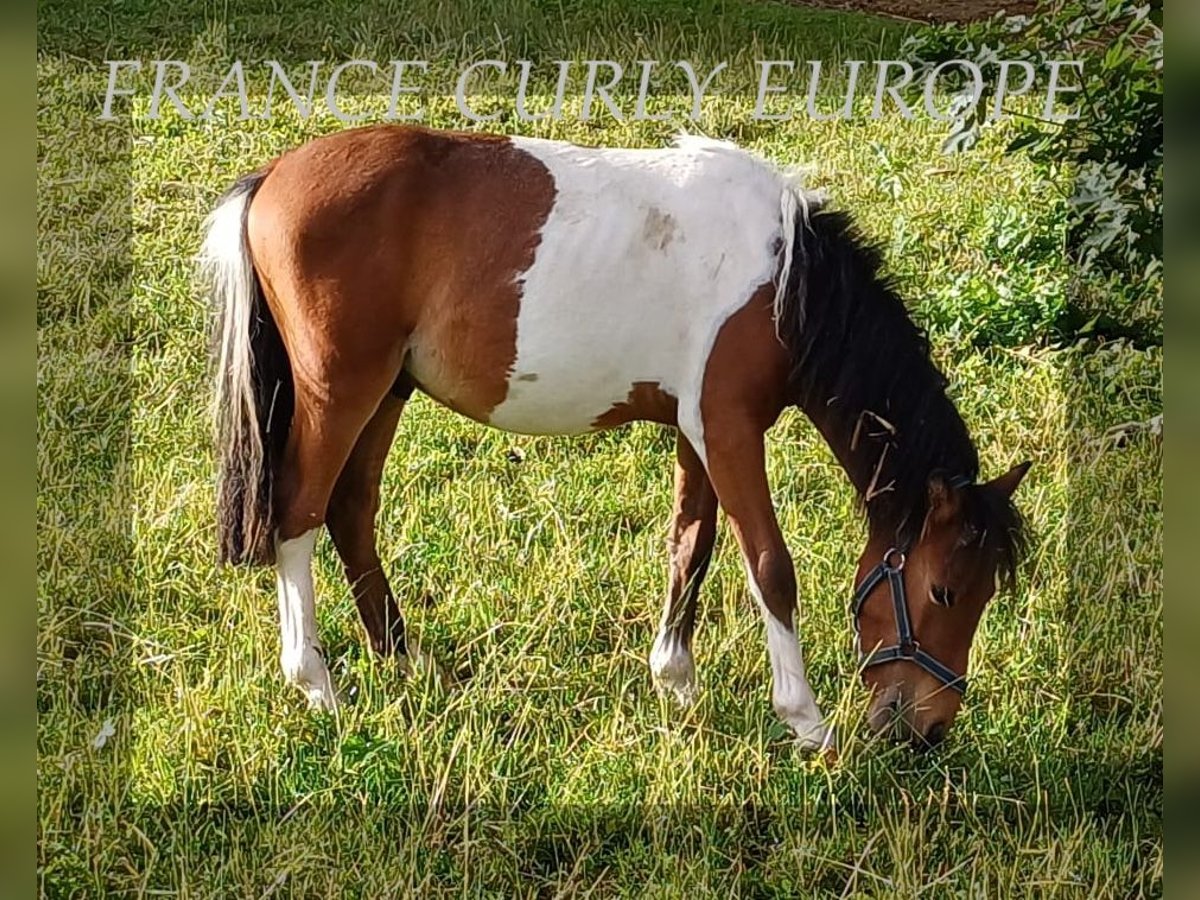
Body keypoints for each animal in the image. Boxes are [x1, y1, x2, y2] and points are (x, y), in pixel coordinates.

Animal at [201, 123, 1027, 748]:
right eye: (946, 591)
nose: (925, 730)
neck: (785, 282)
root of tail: (271, 177)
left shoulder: (699, 431)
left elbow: (692, 545)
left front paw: (676, 681)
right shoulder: (730, 430)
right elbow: (770, 566)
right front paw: (806, 723)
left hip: (387, 391)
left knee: (352, 512)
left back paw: (405, 661)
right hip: (340, 393)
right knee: (299, 516)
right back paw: (317, 684)